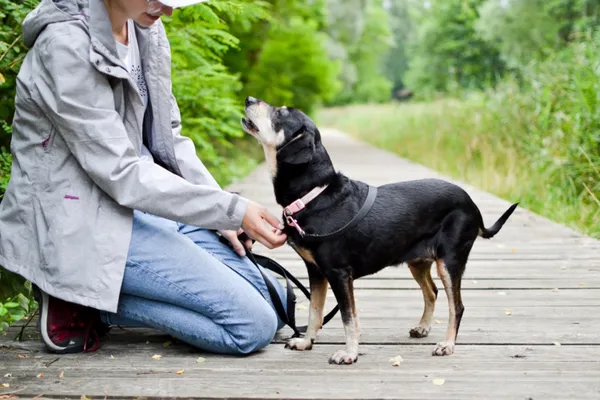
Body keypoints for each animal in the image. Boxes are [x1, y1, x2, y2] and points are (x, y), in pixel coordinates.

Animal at [241, 97, 516, 366]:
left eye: (280, 113)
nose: (249, 99)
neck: (314, 195)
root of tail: (472, 204)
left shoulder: (339, 274)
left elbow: (348, 317)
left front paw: (349, 353)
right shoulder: (317, 271)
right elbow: (314, 311)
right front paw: (306, 342)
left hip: (449, 261)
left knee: (456, 306)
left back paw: (447, 345)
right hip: (419, 262)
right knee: (432, 292)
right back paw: (423, 328)